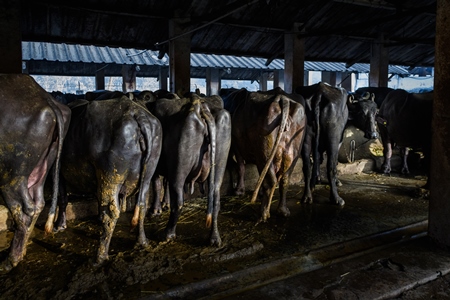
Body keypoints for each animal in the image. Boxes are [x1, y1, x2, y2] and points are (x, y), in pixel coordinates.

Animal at [0, 74, 71, 274]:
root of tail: (45, 99)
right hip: (43, 165)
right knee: (38, 202)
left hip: (12, 173)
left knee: (25, 208)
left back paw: (10, 261)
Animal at [55, 96, 162, 264]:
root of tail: (137, 114)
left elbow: (63, 199)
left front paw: (60, 224)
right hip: (148, 173)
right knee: (142, 204)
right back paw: (142, 241)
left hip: (111, 177)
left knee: (111, 213)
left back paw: (99, 257)